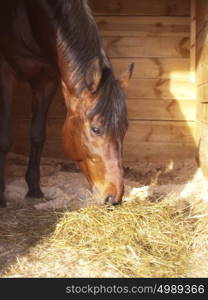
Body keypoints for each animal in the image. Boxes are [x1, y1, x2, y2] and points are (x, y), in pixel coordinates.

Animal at [0, 0, 133, 209]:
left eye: (125, 129)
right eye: (96, 129)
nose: (114, 197)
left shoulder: (47, 80)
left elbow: (37, 135)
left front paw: (34, 189)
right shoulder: (5, 72)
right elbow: (5, 138)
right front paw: (1, 195)